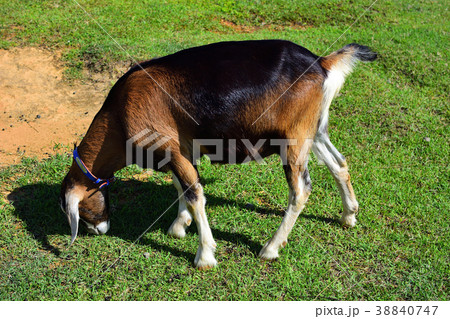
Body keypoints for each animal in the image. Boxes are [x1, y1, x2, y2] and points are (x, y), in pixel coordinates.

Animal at [59, 39, 376, 270]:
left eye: (79, 209)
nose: (97, 230)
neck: (120, 115)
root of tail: (322, 62)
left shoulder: (168, 146)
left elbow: (194, 194)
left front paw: (205, 256)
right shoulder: (181, 151)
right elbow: (182, 185)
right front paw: (179, 226)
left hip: (294, 138)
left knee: (300, 190)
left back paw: (271, 248)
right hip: (315, 129)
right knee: (339, 164)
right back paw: (349, 215)